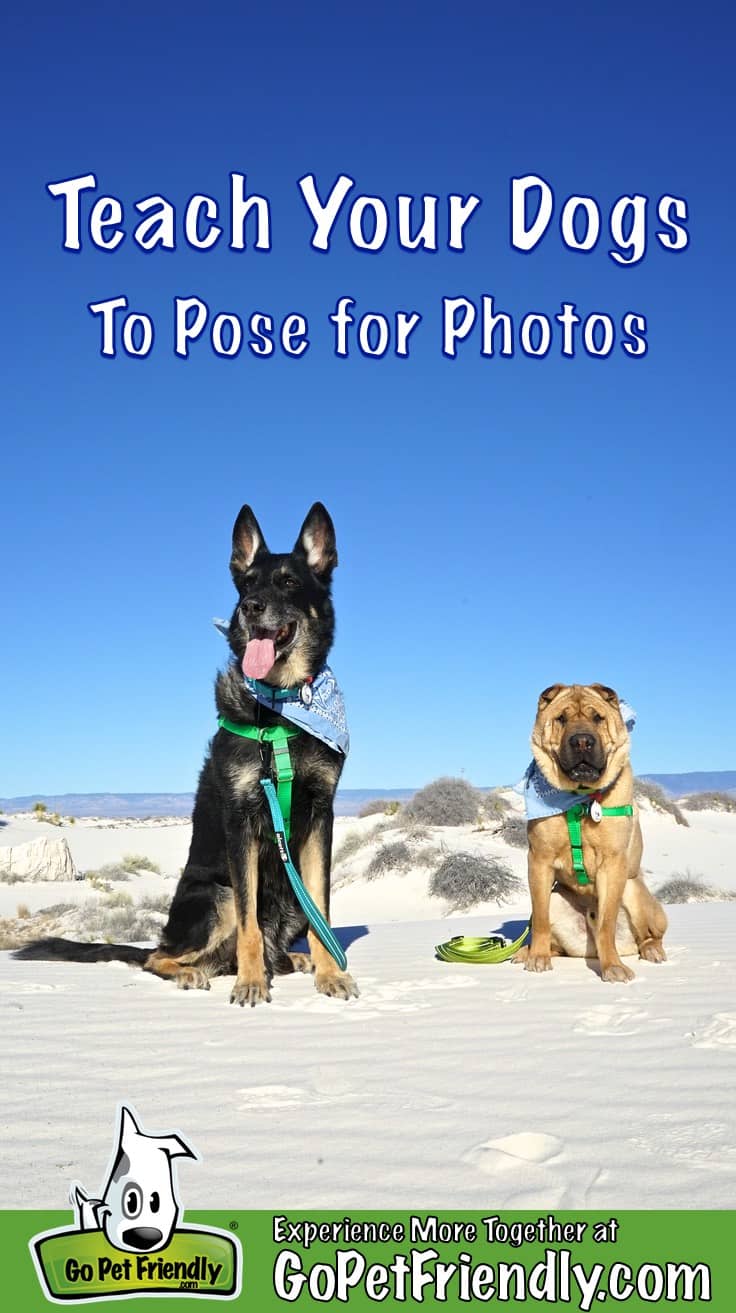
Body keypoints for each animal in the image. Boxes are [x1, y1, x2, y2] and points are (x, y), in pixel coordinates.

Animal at [15, 501, 359, 1003]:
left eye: (288, 582)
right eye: (246, 584)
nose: (249, 609)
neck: (278, 713)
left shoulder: (320, 815)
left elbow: (323, 914)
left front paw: (330, 974)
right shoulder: (241, 820)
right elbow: (250, 926)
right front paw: (251, 984)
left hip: (285, 896)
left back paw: (291, 961)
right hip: (215, 896)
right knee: (160, 955)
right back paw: (193, 973)